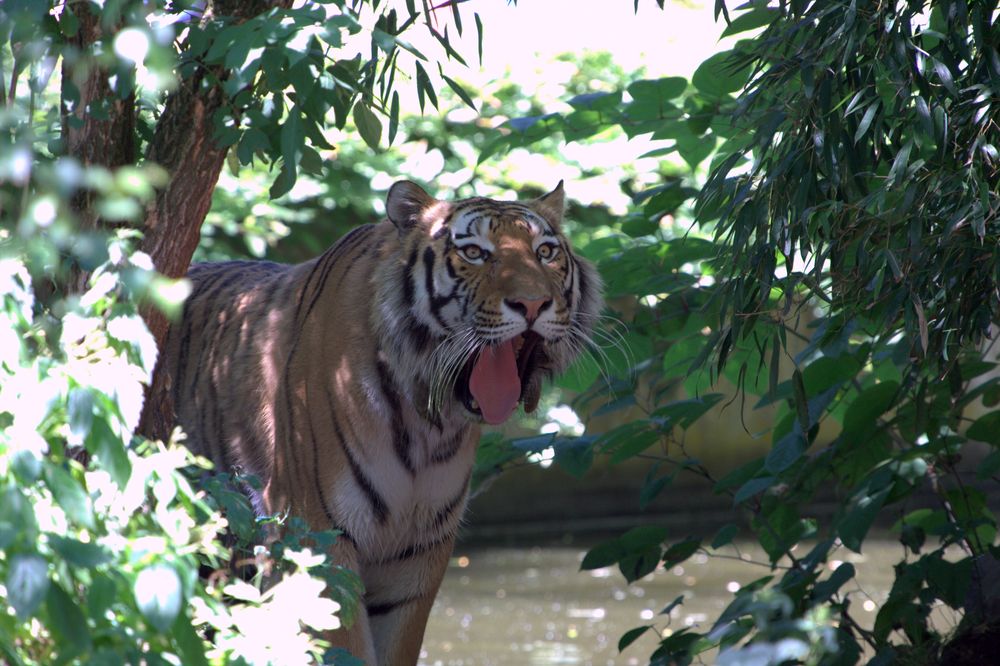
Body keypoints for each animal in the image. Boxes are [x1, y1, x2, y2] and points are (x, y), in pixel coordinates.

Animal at [149, 179, 600, 660]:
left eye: (545, 252)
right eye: (475, 252)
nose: (533, 304)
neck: (427, 424)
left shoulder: (419, 553)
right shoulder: (318, 537)